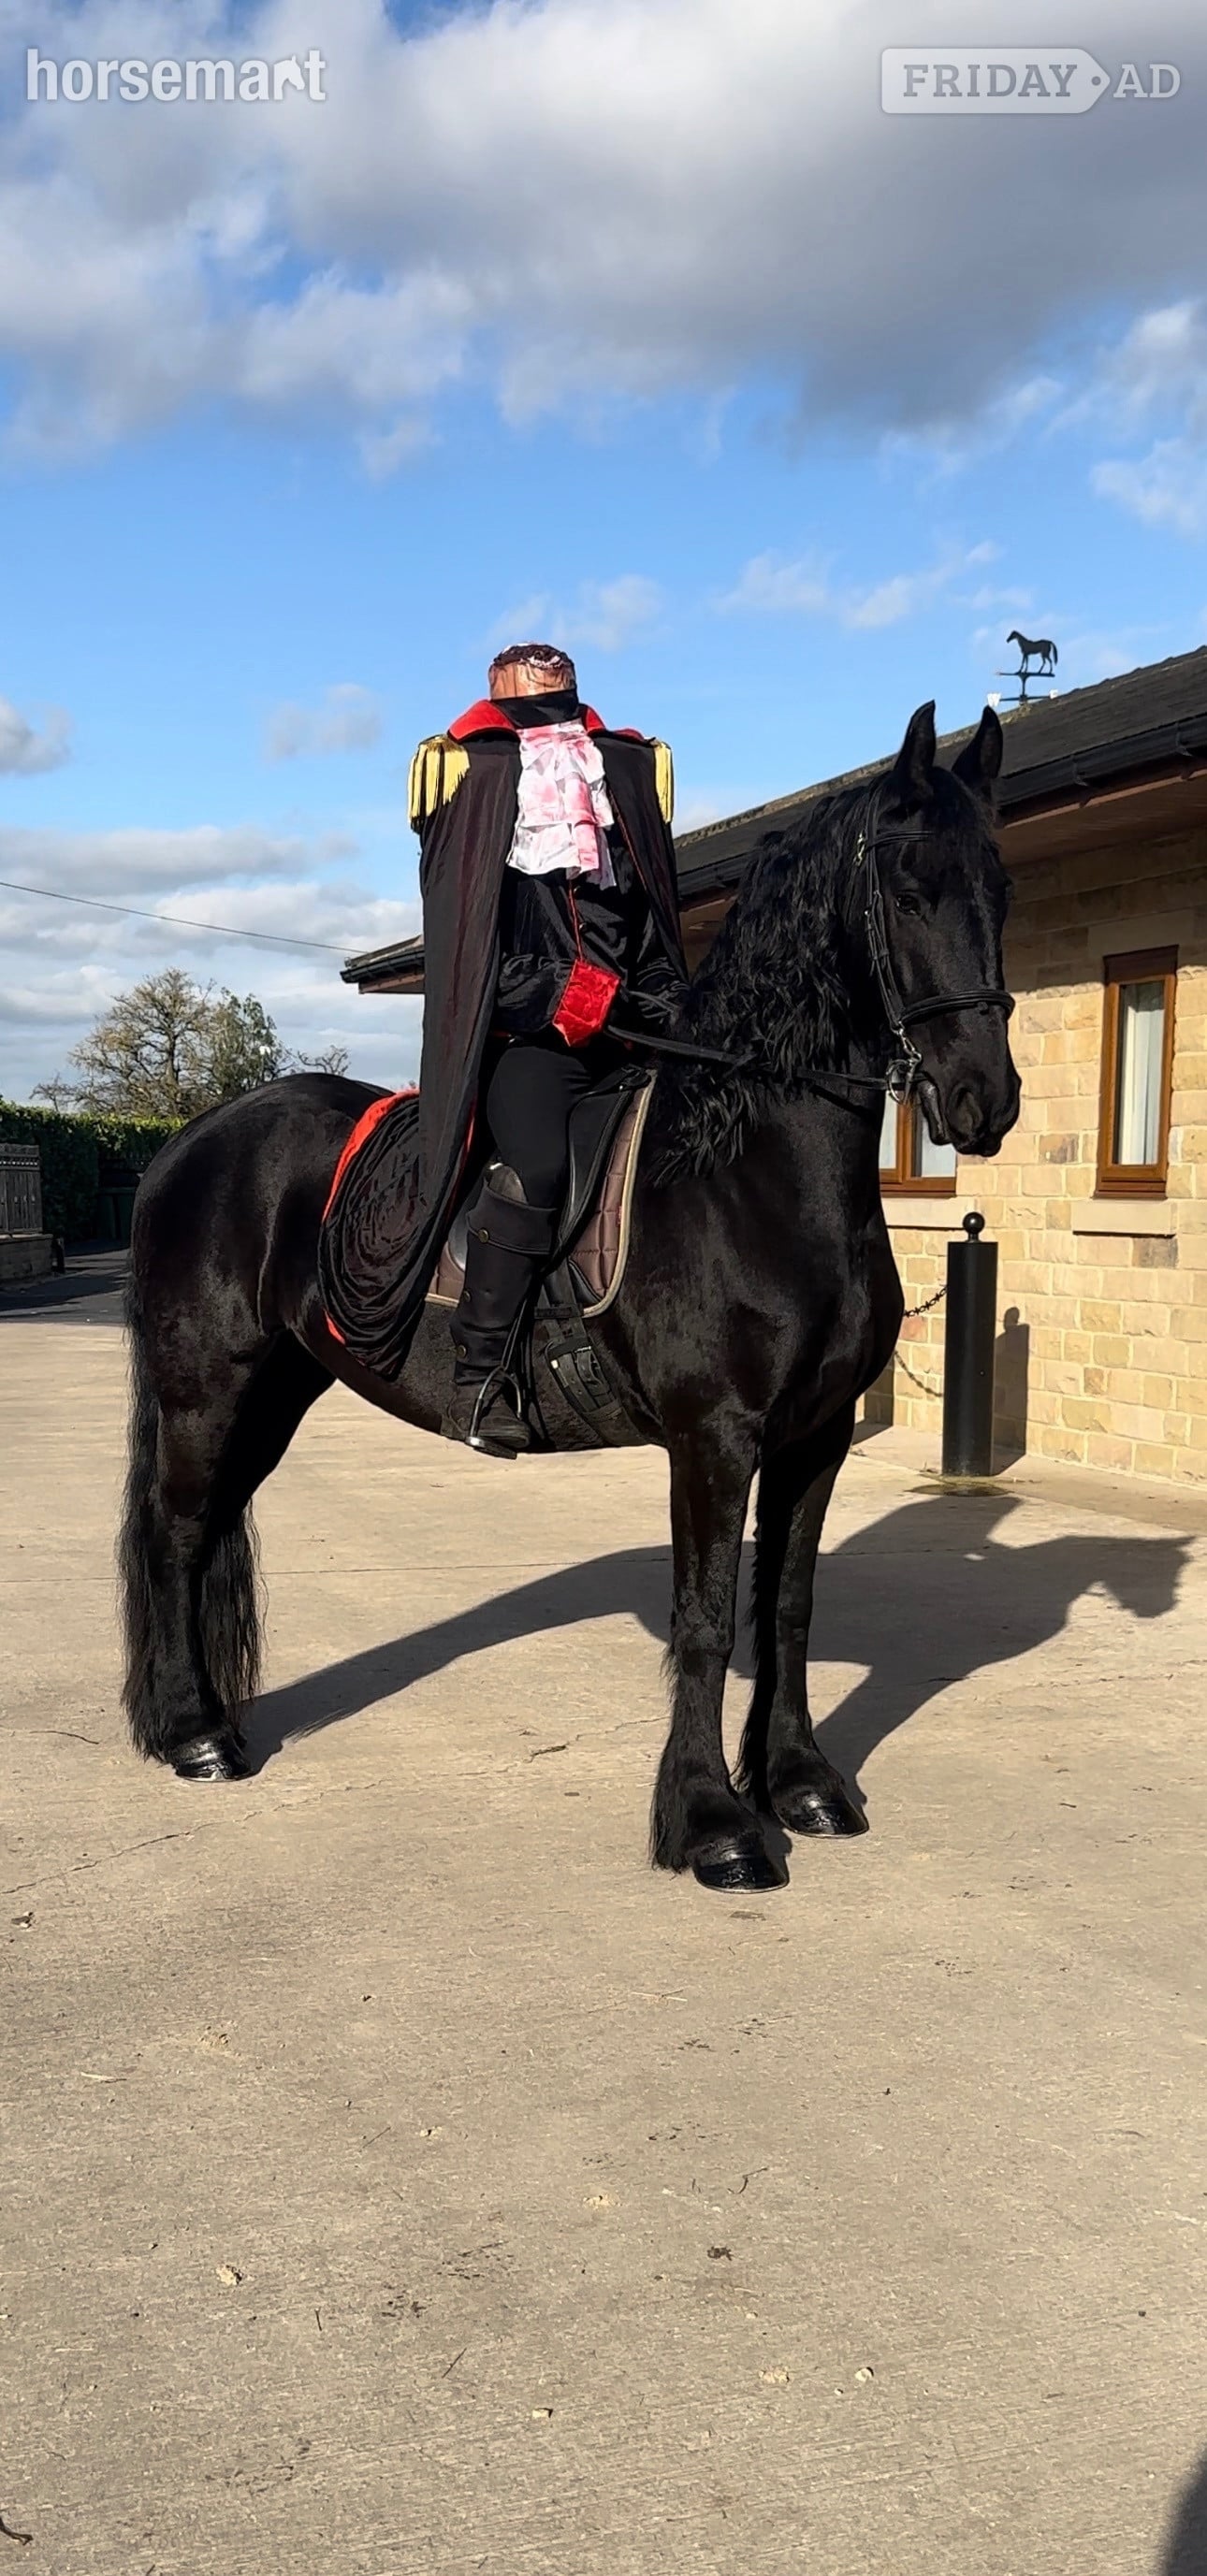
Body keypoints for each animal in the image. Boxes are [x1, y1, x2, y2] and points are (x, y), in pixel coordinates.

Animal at [119, 700, 1019, 1893]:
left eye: (1001, 885)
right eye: (911, 887)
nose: (985, 1100)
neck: (746, 1169)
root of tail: (190, 1143)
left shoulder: (815, 1437)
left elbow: (786, 1607)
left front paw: (798, 1784)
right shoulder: (714, 1439)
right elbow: (704, 1623)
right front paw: (714, 1825)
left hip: (274, 1391)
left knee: (210, 1523)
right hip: (204, 1388)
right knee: (177, 1535)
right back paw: (193, 1736)